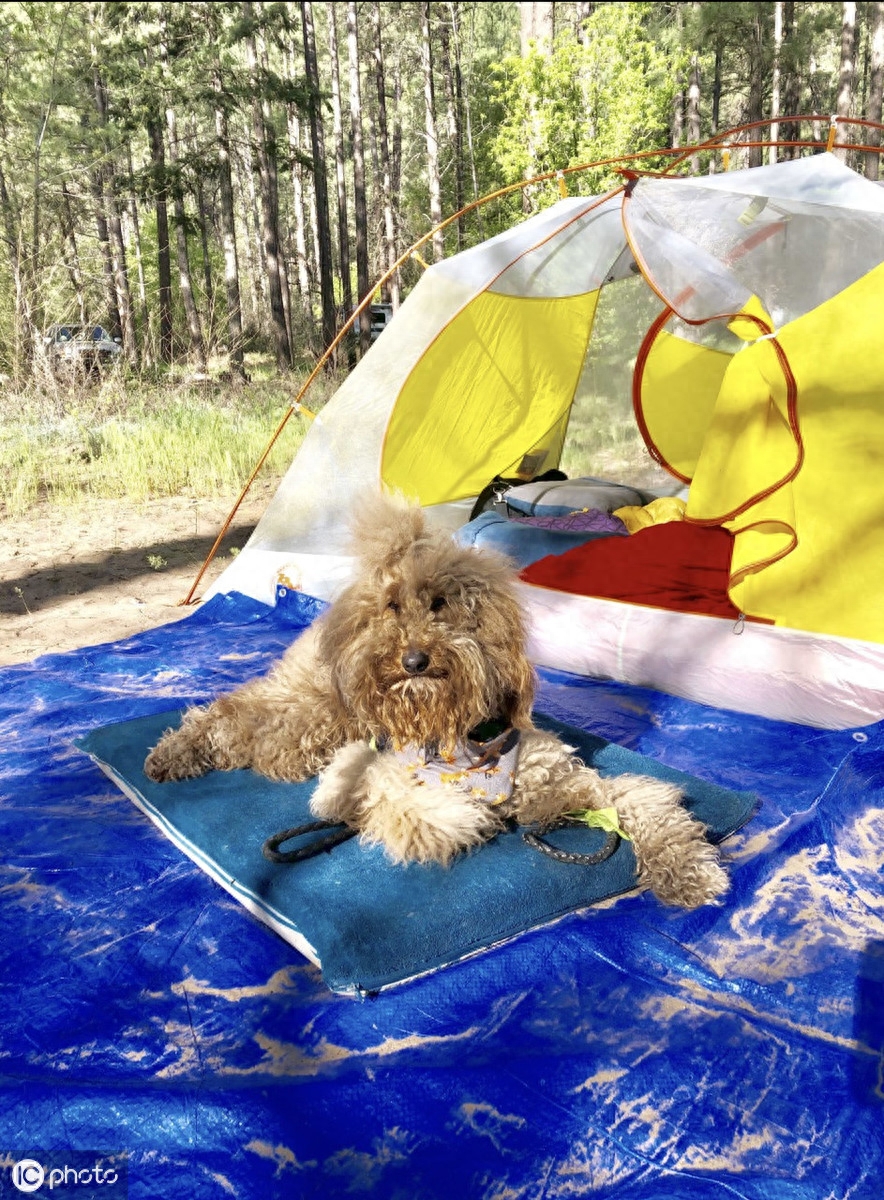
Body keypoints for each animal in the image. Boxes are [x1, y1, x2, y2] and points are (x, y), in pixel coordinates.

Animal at [143, 492, 724, 902]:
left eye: (441, 605)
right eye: (393, 606)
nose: (413, 661)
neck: (459, 740)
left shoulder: (572, 784)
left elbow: (644, 800)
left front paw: (687, 873)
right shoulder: (391, 777)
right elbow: (422, 809)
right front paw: (463, 813)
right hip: (319, 714)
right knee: (239, 718)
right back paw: (175, 751)